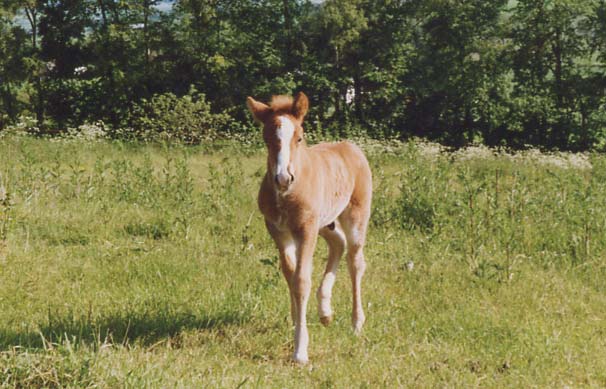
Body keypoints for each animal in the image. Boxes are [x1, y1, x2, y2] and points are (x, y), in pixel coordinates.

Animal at [248, 91, 376, 364]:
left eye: (299, 137)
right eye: (266, 139)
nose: (283, 178)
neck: (286, 195)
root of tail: (351, 147)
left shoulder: (305, 229)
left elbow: (301, 280)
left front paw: (300, 350)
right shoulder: (278, 231)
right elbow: (289, 274)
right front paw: (296, 320)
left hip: (355, 216)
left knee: (355, 261)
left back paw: (356, 323)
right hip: (325, 222)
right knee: (338, 244)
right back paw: (325, 311)